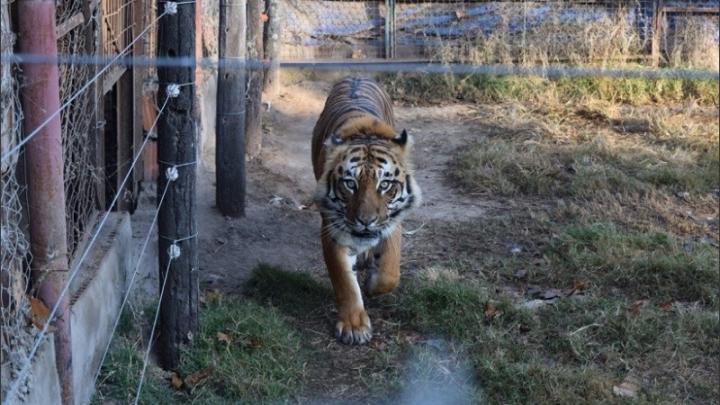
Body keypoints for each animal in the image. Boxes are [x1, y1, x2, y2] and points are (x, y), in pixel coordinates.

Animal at [312, 77, 421, 345]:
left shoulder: (392, 221)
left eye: (385, 185)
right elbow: (344, 280)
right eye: (350, 184)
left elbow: (390, 272)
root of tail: (356, 76)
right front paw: (354, 327)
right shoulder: (332, 228)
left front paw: (373, 284)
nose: (366, 221)